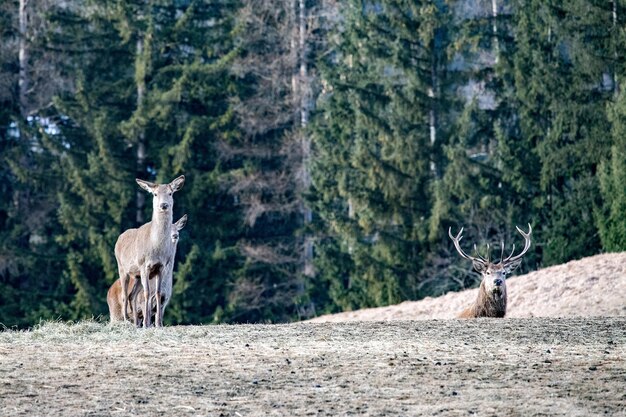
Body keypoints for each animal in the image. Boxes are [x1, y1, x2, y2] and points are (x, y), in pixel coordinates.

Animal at [113, 174, 184, 326]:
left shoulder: (161, 267)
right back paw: (127, 321)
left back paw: (135, 323)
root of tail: (119, 238)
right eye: (155, 194)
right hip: (122, 268)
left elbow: (157, 293)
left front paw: (158, 324)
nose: (164, 205)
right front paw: (146, 323)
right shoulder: (144, 265)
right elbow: (147, 293)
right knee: (124, 295)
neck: (155, 247)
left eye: (170, 193)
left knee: (132, 295)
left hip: (136, 275)